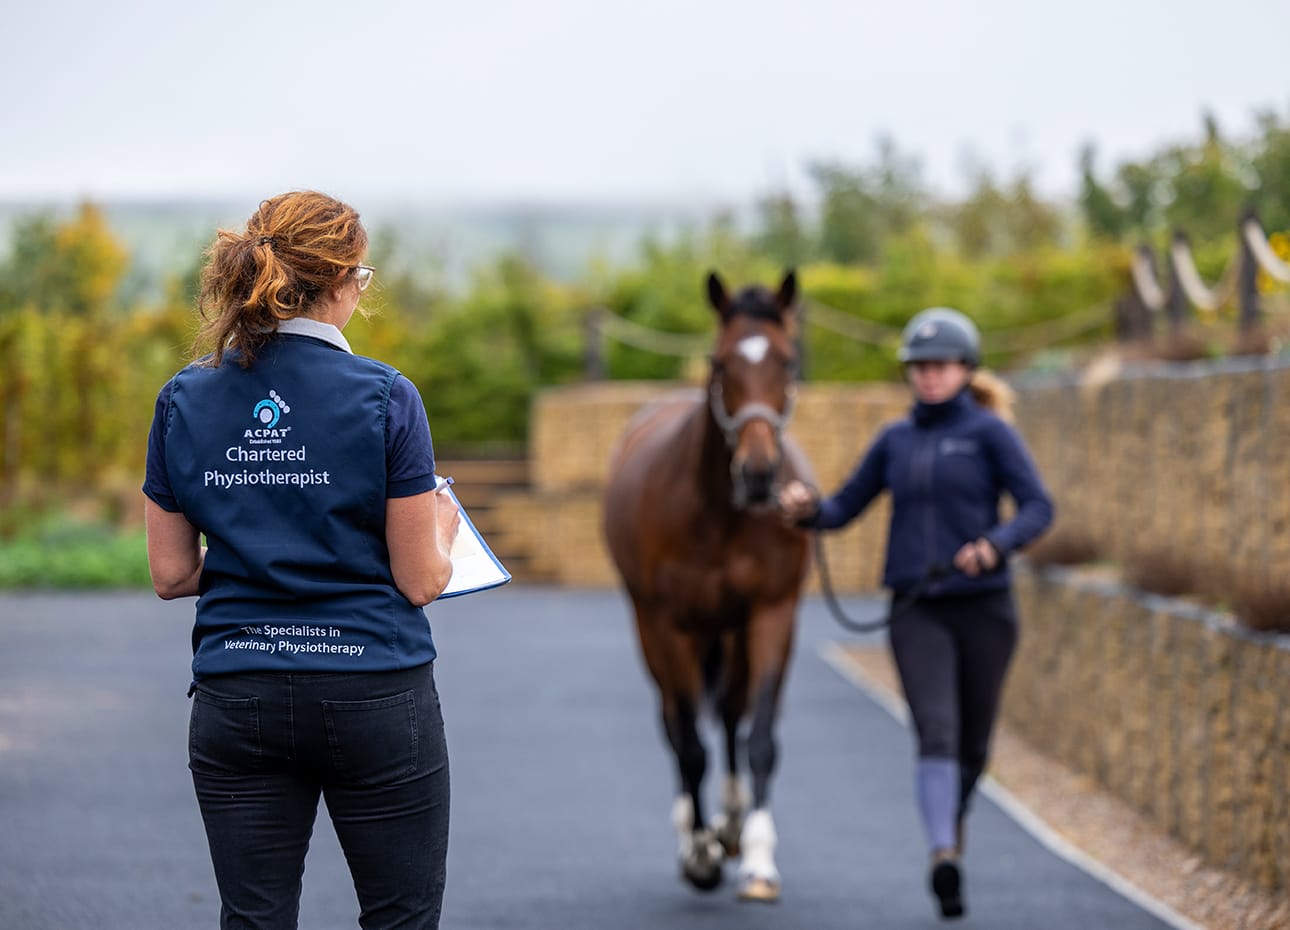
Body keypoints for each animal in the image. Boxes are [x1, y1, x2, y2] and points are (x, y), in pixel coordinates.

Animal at [601, 268, 804, 897]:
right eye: (719, 363)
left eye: (788, 361)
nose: (759, 474)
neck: (720, 515)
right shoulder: (669, 625)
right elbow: (690, 746)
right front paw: (699, 855)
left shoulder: (771, 614)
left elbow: (760, 738)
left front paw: (758, 855)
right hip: (656, 632)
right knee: (675, 722)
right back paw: (697, 829)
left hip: (732, 632)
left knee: (734, 714)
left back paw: (732, 823)